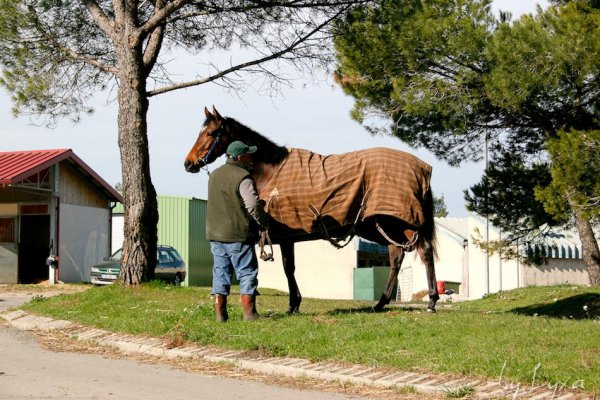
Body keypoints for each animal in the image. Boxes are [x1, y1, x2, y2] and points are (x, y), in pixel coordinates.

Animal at [183, 108, 440, 314]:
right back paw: (381, 303)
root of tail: (422, 168)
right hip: (383, 226)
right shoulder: (286, 236)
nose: (188, 163)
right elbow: (289, 268)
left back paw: (430, 302)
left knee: (423, 252)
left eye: (210, 133)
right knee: (397, 255)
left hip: (400, 222)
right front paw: (294, 303)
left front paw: (293, 304)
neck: (270, 170)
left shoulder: (285, 236)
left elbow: (288, 268)